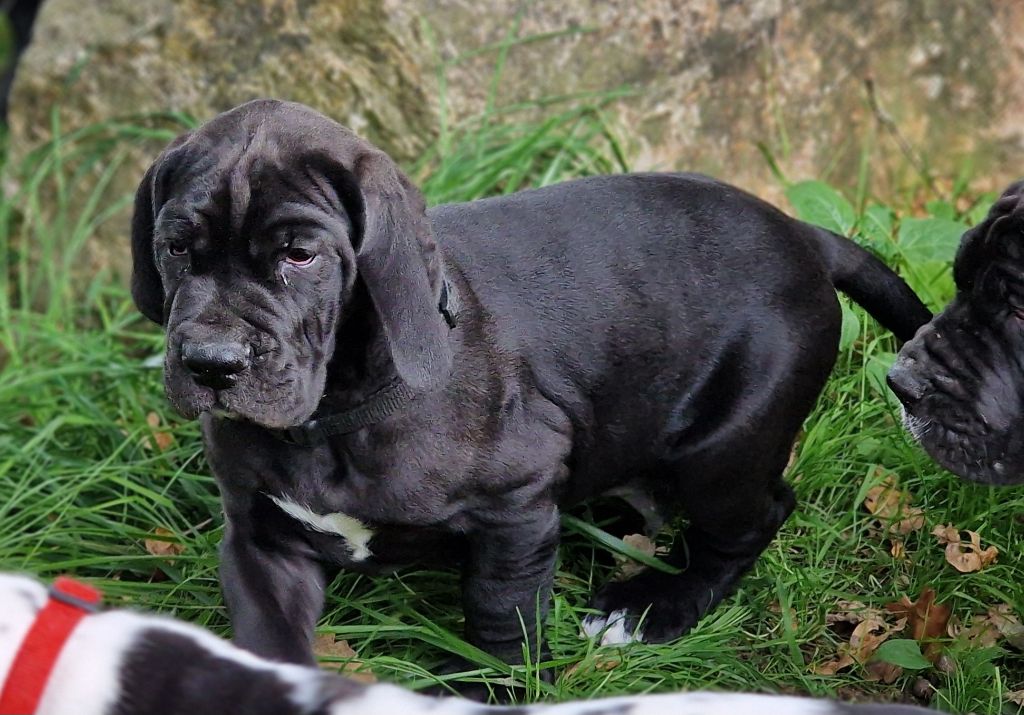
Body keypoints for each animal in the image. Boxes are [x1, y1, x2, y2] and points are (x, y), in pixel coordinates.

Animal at [129, 99, 931, 669]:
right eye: (176, 247)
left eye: (300, 254)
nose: (211, 362)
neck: (332, 419)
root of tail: (801, 232)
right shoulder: (260, 539)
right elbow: (266, 643)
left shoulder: (513, 508)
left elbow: (498, 618)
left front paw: (489, 687)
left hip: (724, 450)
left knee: (752, 520)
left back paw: (650, 607)